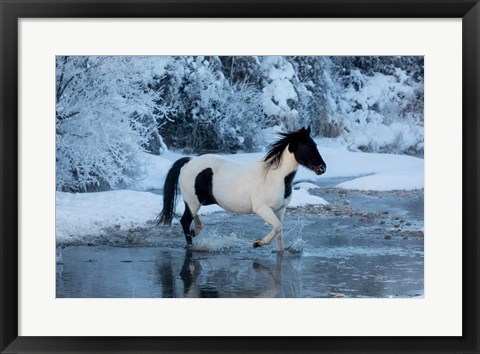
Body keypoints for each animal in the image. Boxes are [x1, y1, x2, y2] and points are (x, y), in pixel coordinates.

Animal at [158, 127, 326, 252]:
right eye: (306, 146)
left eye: (316, 145)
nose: (322, 168)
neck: (274, 177)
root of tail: (189, 162)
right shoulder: (262, 209)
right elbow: (278, 226)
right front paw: (258, 243)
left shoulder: (280, 210)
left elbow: (279, 233)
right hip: (194, 201)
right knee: (185, 220)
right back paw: (192, 245)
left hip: (199, 201)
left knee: (191, 218)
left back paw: (195, 231)